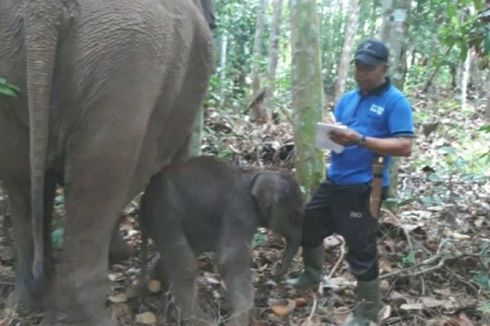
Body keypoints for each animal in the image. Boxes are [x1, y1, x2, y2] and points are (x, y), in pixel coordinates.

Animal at [140, 156, 304, 326]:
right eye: (294, 215)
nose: (275, 273)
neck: (255, 173)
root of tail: (143, 200)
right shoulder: (240, 211)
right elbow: (228, 260)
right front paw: (241, 316)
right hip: (164, 210)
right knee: (186, 264)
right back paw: (200, 320)